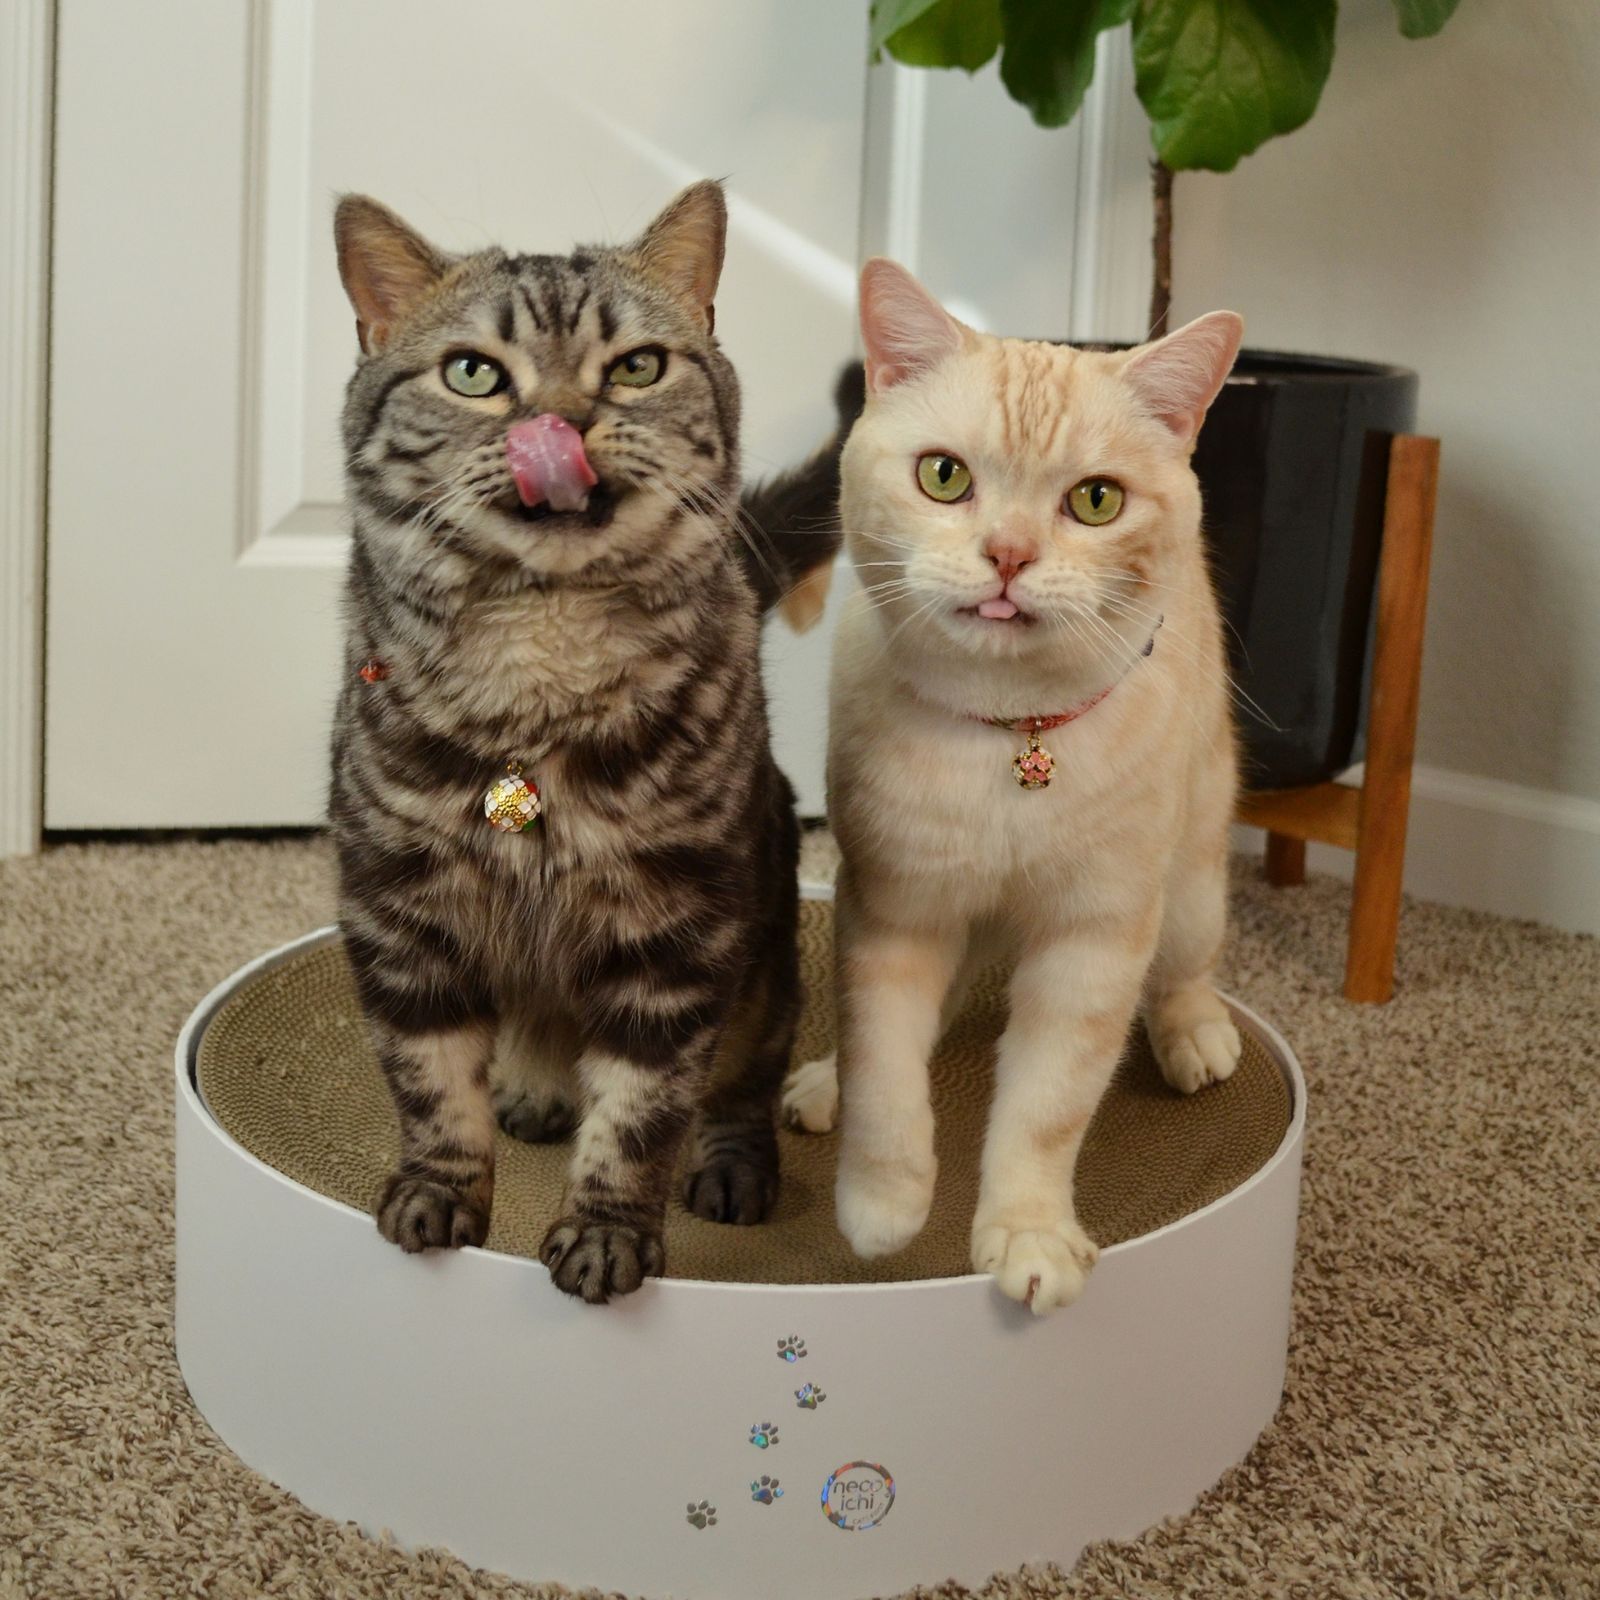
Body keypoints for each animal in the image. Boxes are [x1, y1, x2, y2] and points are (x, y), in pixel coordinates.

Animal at [329, 181, 844, 1299]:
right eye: (474, 372)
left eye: (637, 366)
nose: (562, 422)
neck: (540, 661)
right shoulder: (398, 910)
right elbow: (430, 1082)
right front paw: (438, 1187)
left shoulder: (676, 933)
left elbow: (640, 1112)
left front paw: (608, 1232)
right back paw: (531, 1083)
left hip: (766, 943)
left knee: (747, 1073)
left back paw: (733, 1164)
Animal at [787, 259, 1248, 1312]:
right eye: (945, 476)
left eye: (1096, 501)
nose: (1007, 555)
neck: (1013, 745)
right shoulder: (895, 912)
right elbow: (885, 1067)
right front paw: (881, 1203)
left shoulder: (1094, 943)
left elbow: (1047, 1109)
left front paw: (1029, 1234)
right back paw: (824, 1083)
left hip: (1190, 886)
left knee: (1189, 969)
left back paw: (1194, 1034)